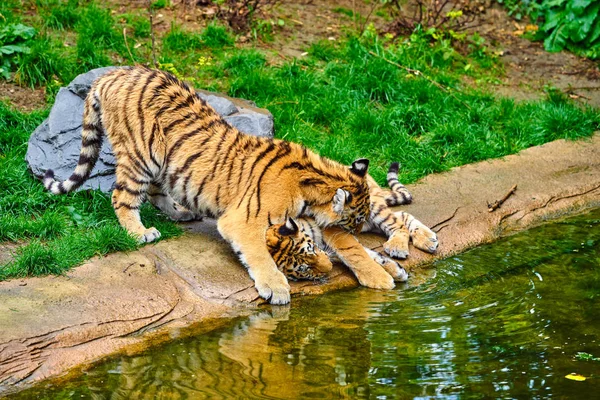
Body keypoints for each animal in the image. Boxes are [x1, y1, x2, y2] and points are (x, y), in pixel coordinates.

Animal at [43, 66, 398, 304]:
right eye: (355, 219)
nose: (361, 228)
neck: (311, 182)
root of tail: (113, 73)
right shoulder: (246, 220)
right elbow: (259, 255)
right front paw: (276, 288)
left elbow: (352, 250)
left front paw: (381, 272)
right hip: (141, 155)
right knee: (122, 196)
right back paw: (140, 233)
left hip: (163, 163)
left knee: (156, 191)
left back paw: (181, 213)